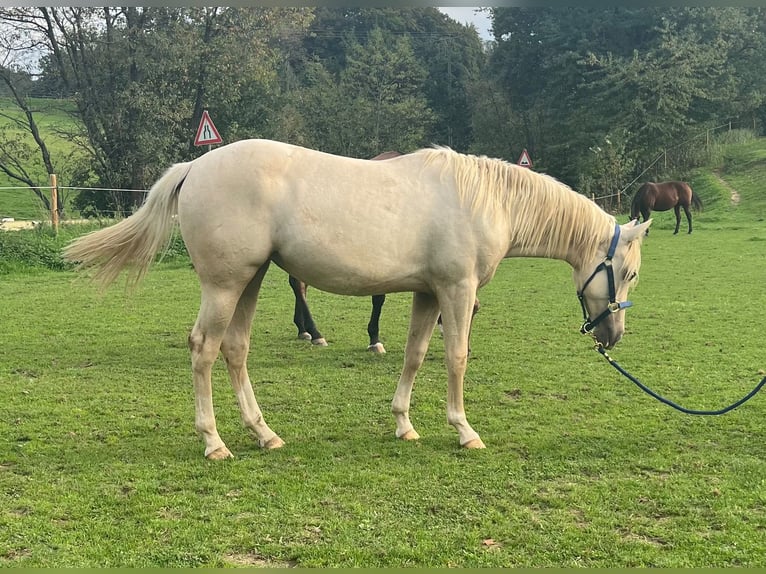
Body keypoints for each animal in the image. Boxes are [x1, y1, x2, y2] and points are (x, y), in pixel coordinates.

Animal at [64, 139, 651, 460]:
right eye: (628, 273)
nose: (613, 335)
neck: (486, 200)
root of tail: (195, 167)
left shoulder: (427, 293)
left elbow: (416, 355)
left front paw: (404, 424)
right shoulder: (456, 291)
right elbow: (456, 357)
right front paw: (464, 431)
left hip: (250, 280)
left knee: (235, 350)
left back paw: (264, 434)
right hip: (225, 284)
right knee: (204, 350)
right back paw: (214, 442)